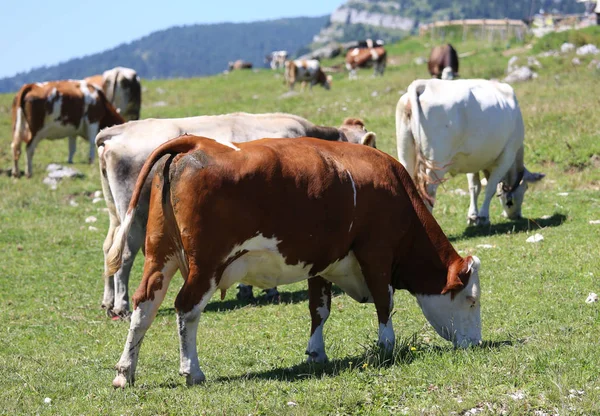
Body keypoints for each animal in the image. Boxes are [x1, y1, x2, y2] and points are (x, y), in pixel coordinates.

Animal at [96, 112, 378, 316]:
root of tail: (118, 131)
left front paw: (247, 290)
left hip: (117, 215)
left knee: (109, 248)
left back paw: (108, 302)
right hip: (134, 216)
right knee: (126, 254)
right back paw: (120, 305)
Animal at [108, 136, 482, 386]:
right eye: (471, 300)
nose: (476, 344)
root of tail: (195, 142)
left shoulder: (323, 261)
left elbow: (319, 308)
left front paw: (317, 353)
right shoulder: (376, 253)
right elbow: (383, 302)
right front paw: (386, 346)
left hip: (160, 257)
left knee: (145, 305)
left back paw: (126, 372)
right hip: (207, 266)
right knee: (186, 309)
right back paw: (193, 371)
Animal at [396, 79, 540, 226]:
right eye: (525, 188)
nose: (517, 215)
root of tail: (424, 84)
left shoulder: (472, 159)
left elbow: (474, 188)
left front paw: (473, 216)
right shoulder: (507, 155)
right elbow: (490, 188)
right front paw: (483, 217)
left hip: (405, 153)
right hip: (438, 162)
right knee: (429, 190)